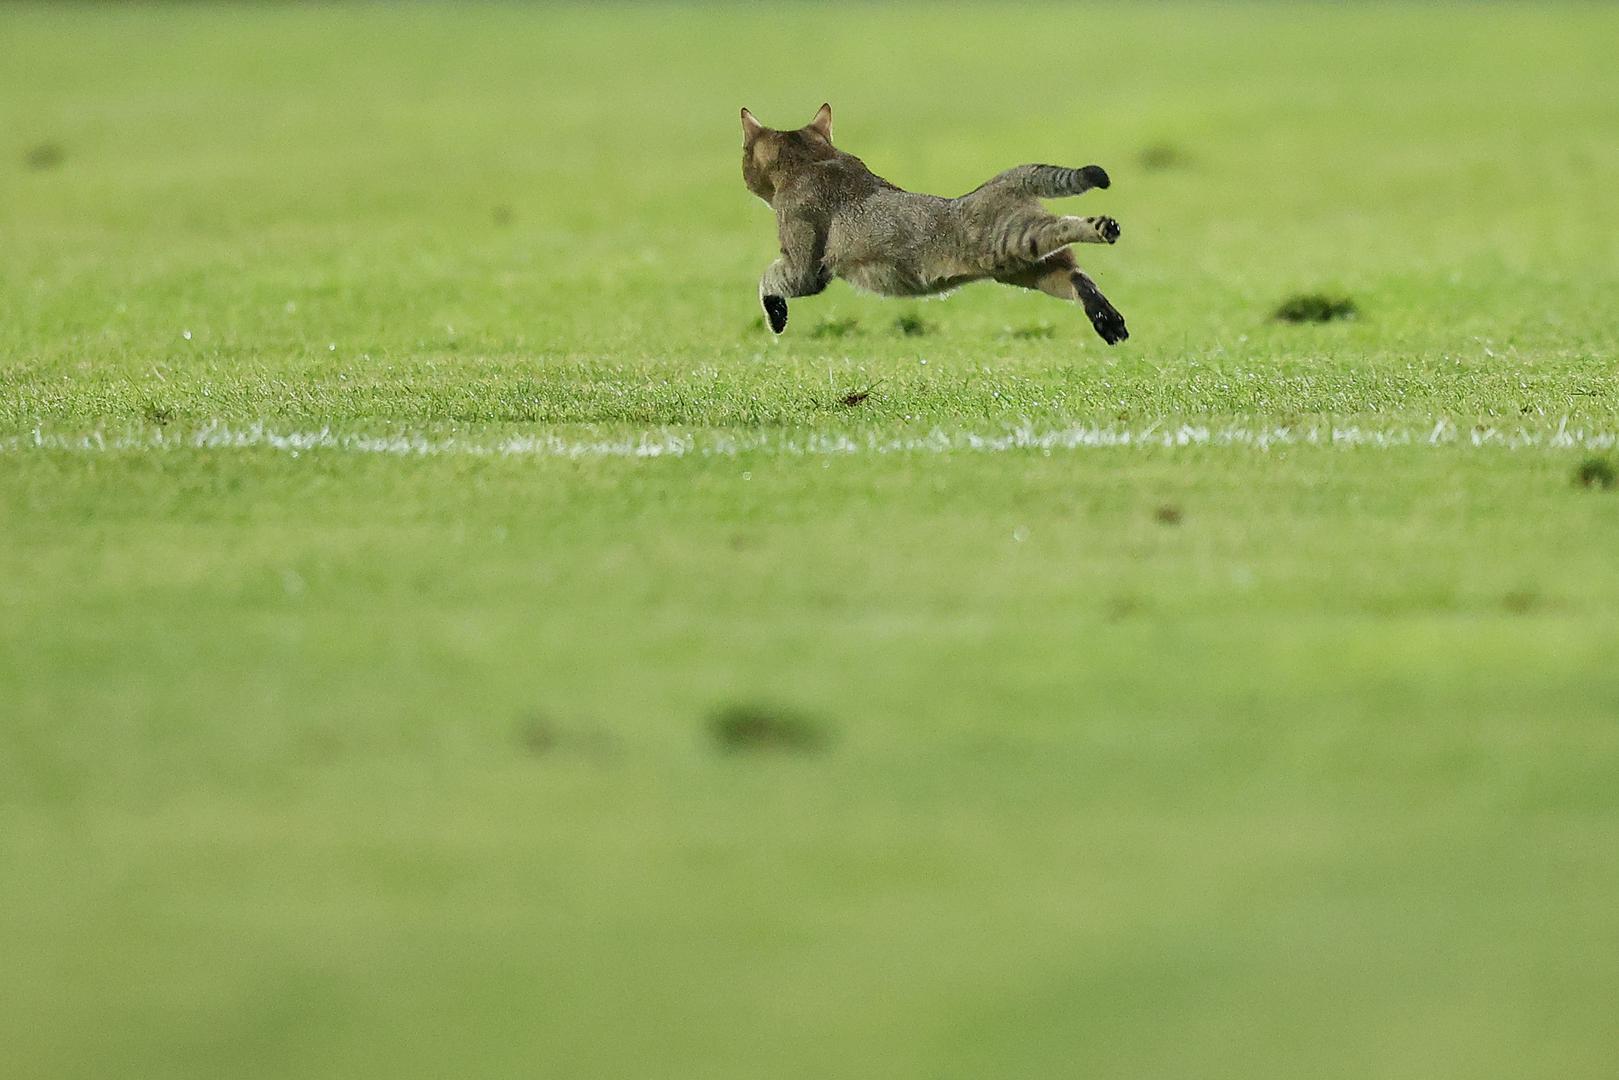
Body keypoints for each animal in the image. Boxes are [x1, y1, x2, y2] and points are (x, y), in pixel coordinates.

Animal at [741, 102, 1126, 341]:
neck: (814, 160)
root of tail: (1003, 180)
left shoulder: (805, 267)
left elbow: (768, 279)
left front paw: (776, 316)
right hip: (1029, 269)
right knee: (1077, 277)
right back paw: (1108, 321)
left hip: (1012, 239)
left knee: (1066, 226)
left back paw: (1103, 228)